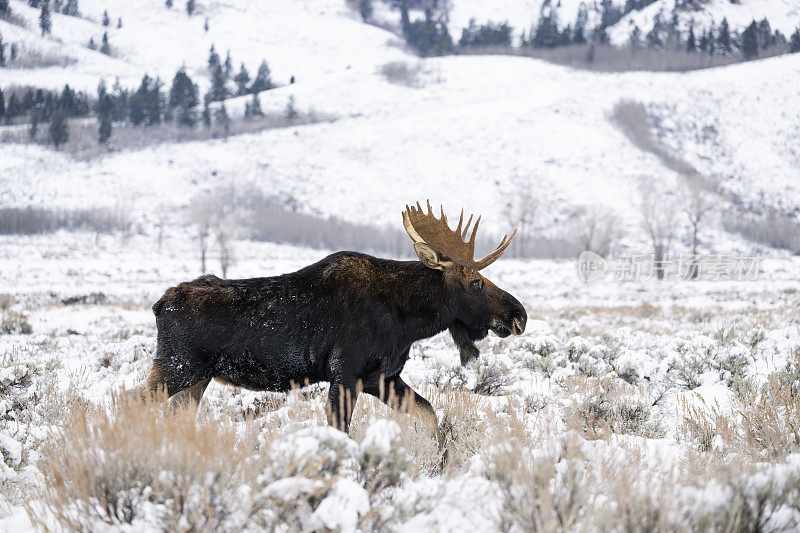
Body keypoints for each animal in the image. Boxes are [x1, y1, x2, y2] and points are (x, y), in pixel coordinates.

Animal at [141, 202, 528, 446]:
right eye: (475, 281)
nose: (519, 315)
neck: (407, 322)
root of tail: (159, 305)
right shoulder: (345, 374)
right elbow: (340, 432)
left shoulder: (382, 378)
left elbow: (430, 415)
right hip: (175, 368)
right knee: (133, 402)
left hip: (196, 378)